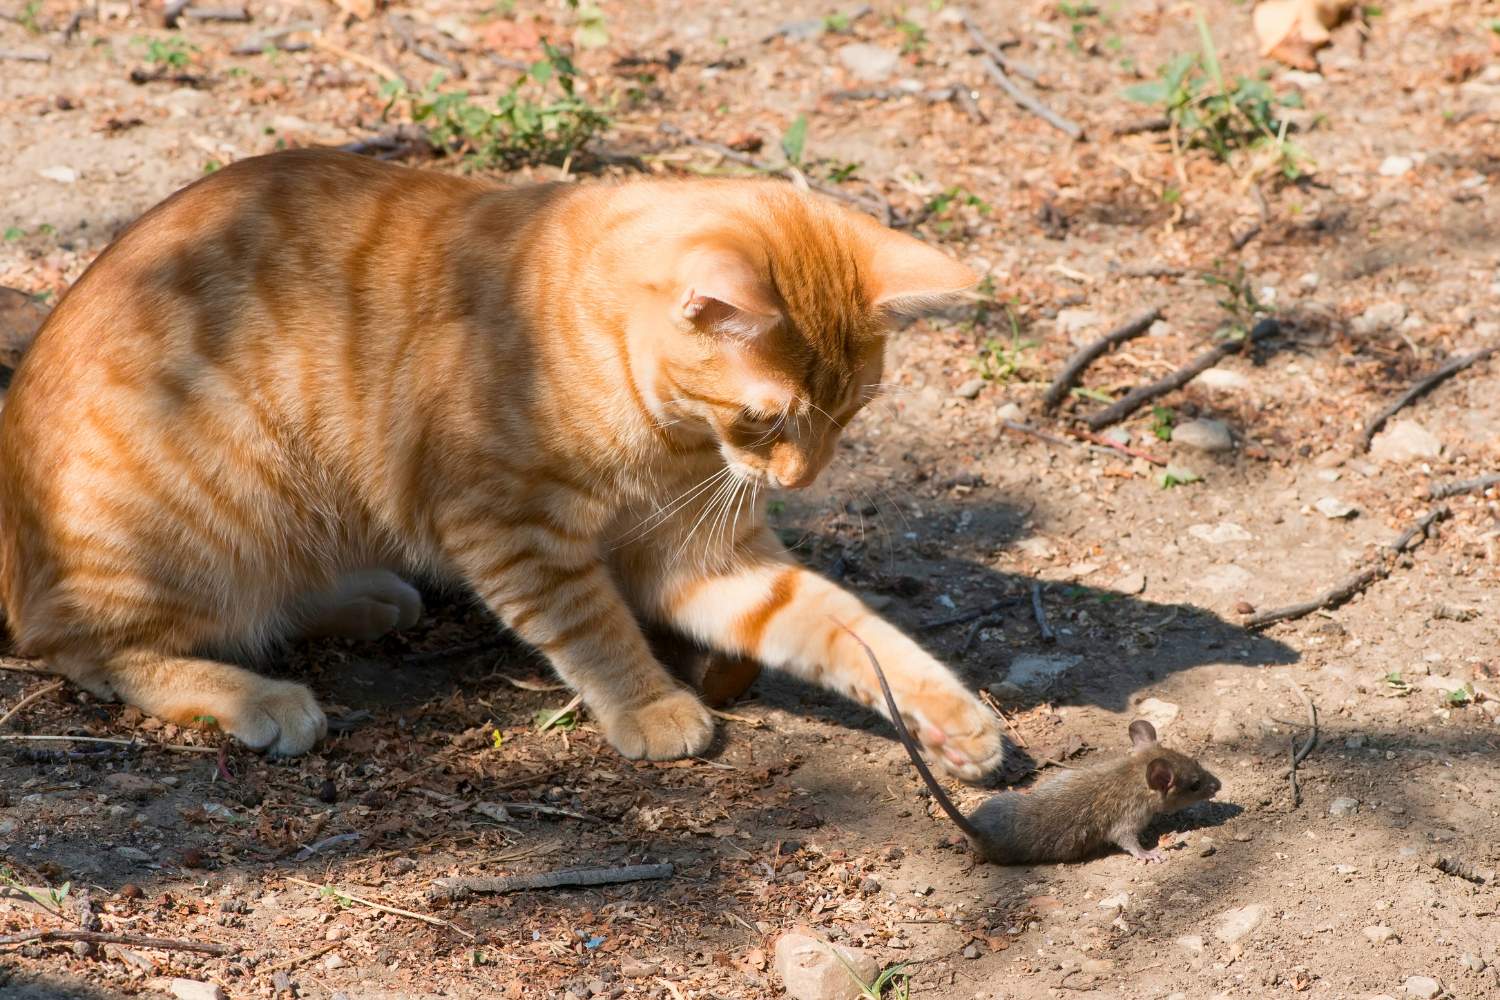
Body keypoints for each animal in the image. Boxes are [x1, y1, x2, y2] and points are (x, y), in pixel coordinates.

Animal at [0, 148, 1003, 780]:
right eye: (767, 418)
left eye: (853, 411)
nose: (801, 481)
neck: (668, 436)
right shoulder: (509, 528)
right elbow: (594, 625)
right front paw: (650, 705)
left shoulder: (704, 554)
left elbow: (846, 628)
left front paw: (948, 717)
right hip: (216, 514)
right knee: (83, 646)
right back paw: (257, 695)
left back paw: (362, 597)